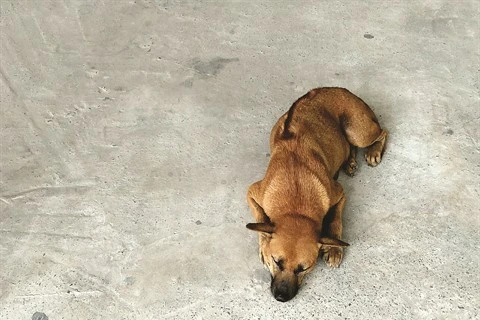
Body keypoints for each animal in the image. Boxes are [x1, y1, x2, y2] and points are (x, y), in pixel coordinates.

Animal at [246, 86, 388, 302]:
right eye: (276, 261)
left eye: (304, 268)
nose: (281, 297)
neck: (295, 205)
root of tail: (337, 88)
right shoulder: (252, 192)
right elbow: (260, 217)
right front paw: (263, 244)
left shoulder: (339, 193)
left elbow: (336, 220)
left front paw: (334, 247)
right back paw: (349, 162)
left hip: (358, 132)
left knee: (382, 133)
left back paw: (373, 151)